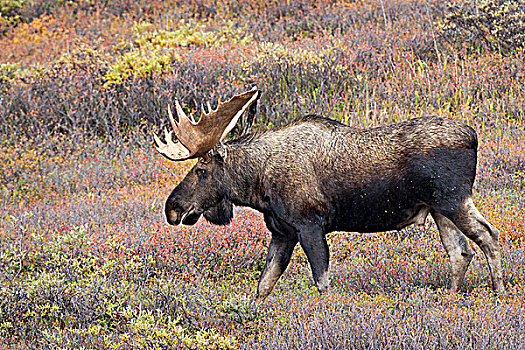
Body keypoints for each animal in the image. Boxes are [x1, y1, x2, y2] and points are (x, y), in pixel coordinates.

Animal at [152, 88, 504, 300]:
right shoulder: (282, 232)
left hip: (454, 199)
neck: (258, 184)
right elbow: (262, 287)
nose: (173, 208)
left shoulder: (310, 225)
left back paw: (499, 293)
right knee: (460, 252)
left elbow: (322, 284)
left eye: (201, 170)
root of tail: (473, 136)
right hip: (438, 209)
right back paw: (450, 297)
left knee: (489, 235)